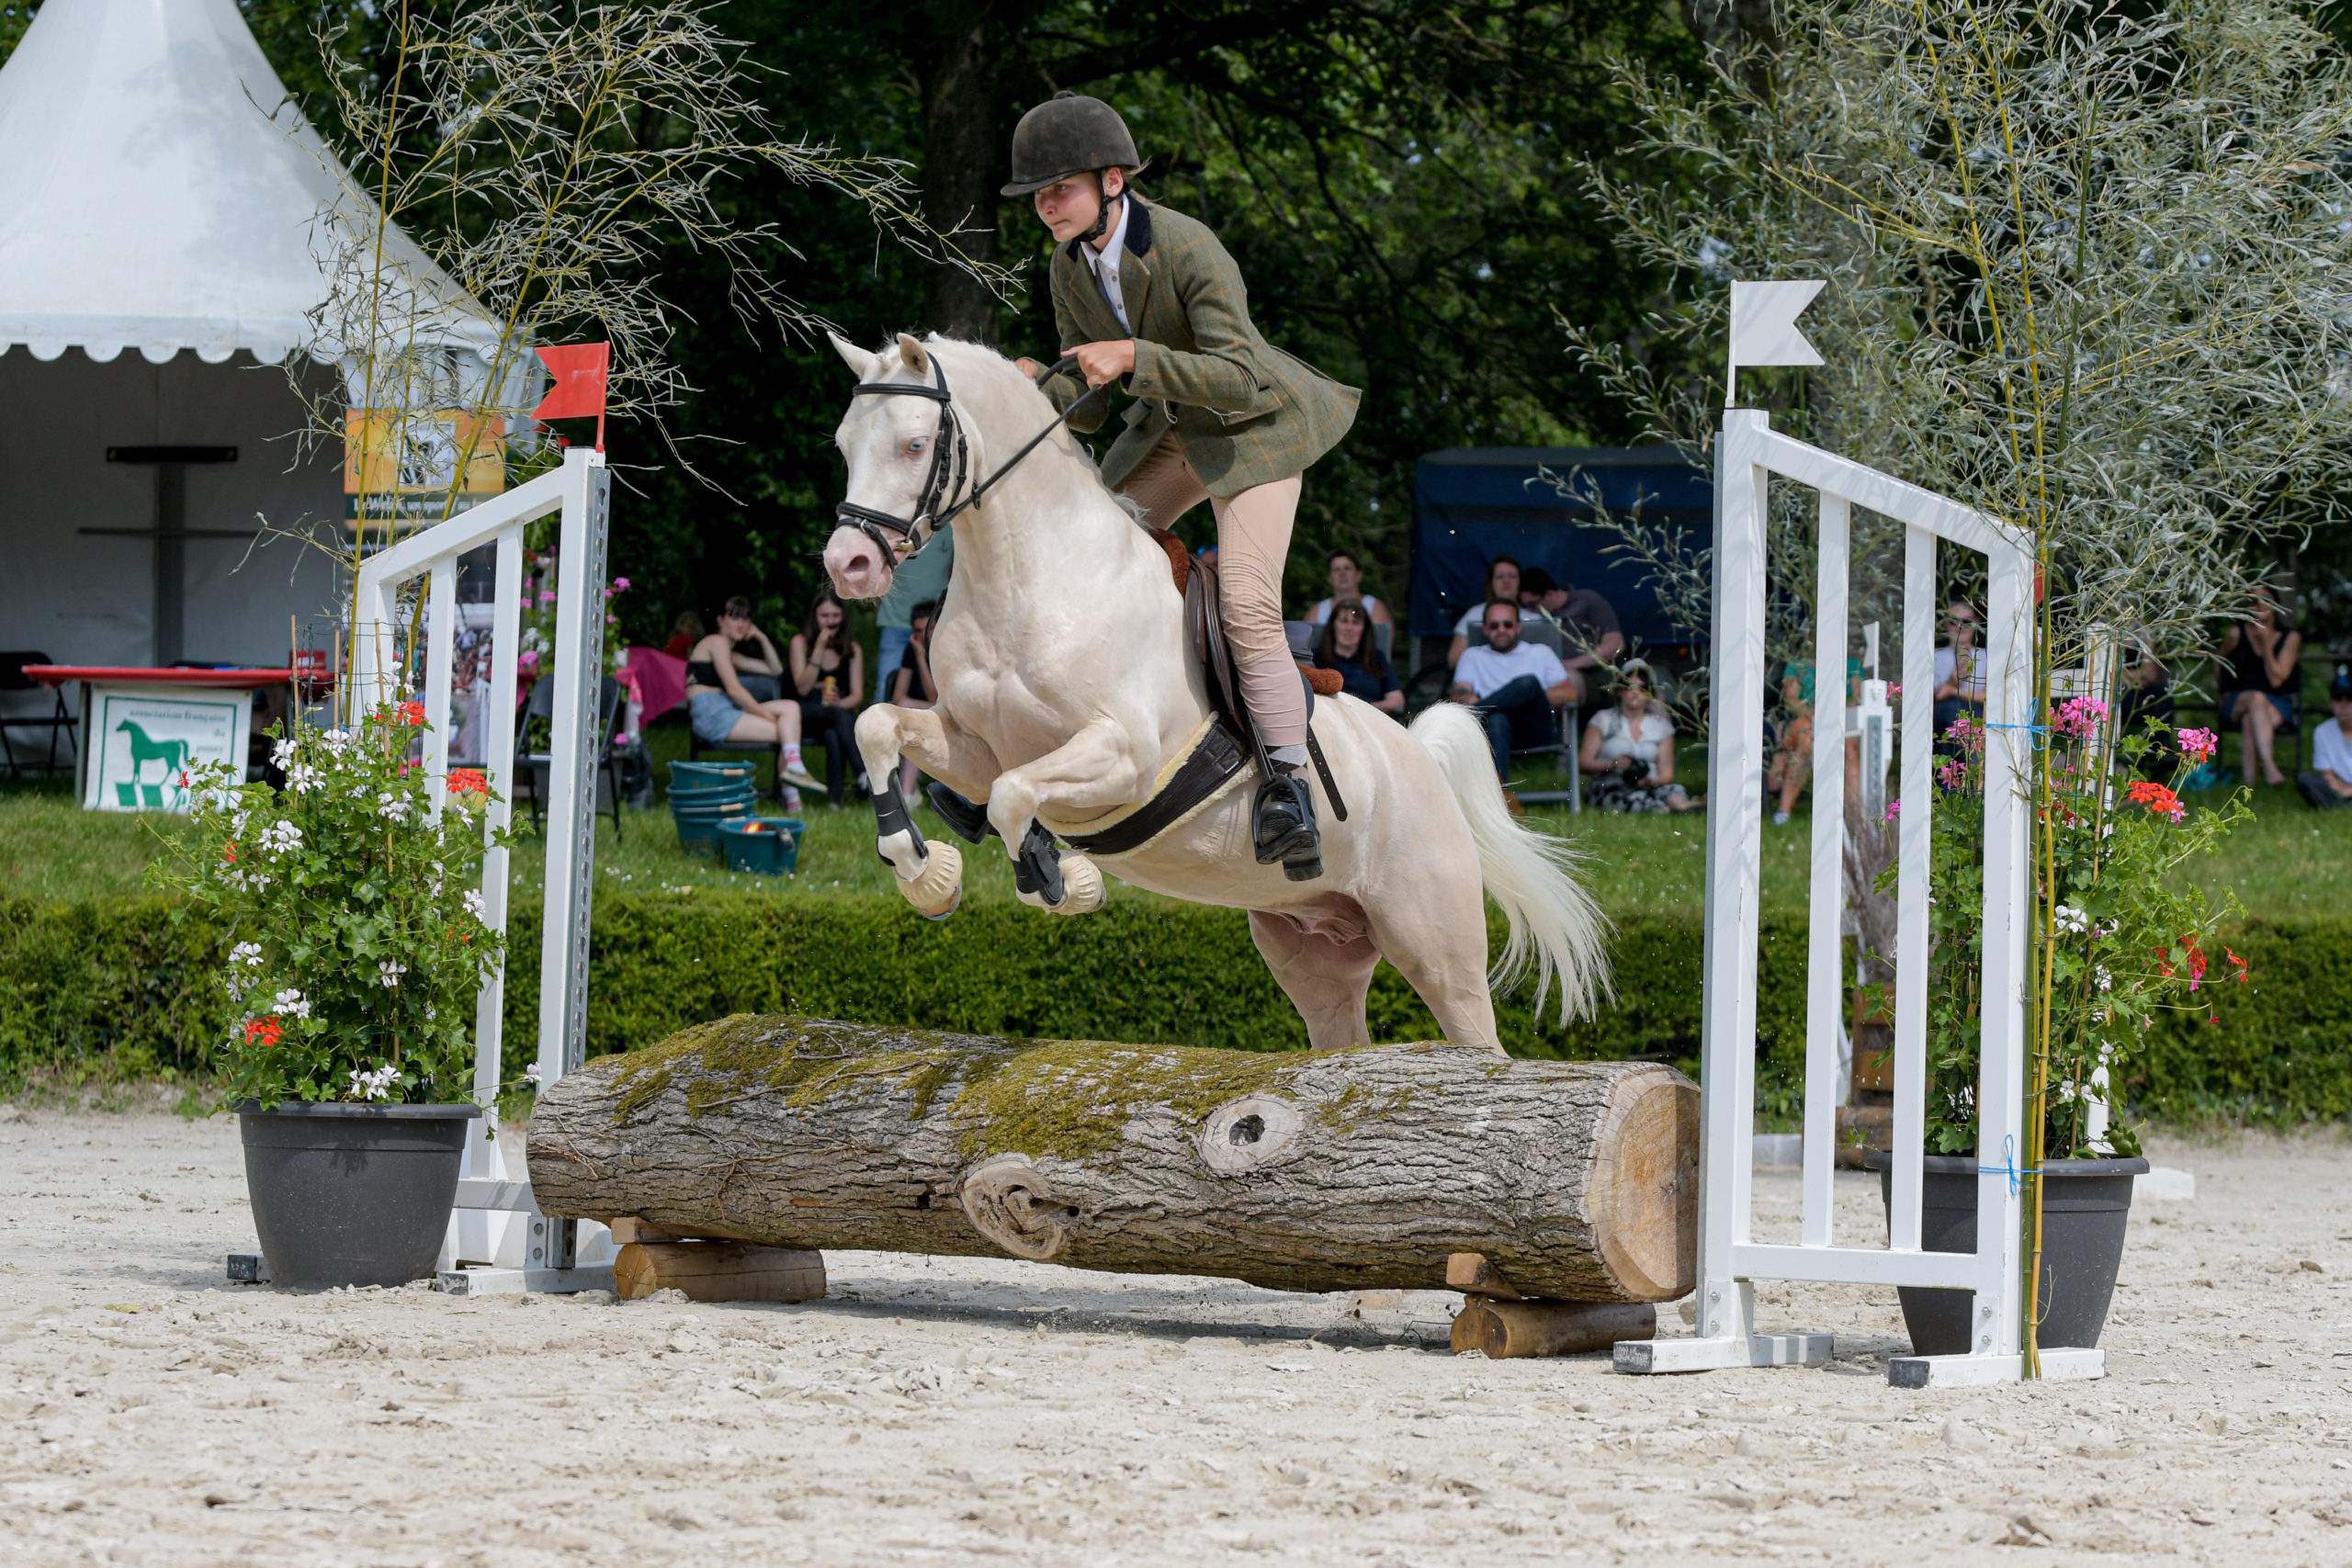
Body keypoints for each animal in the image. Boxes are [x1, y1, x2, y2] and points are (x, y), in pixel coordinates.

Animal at [818, 333, 1609, 1053]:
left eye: (916, 445)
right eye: (844, 444)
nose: (848, 565)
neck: (1023, 574)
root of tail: (1417, 755)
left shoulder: (1125, 756)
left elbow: (1016, 797)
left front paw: (1063, 879)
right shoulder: (975, 744)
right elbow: (878, 728)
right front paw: (927, 874)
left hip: (1436, 945)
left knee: (1480, 1038)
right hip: (1315, 950)